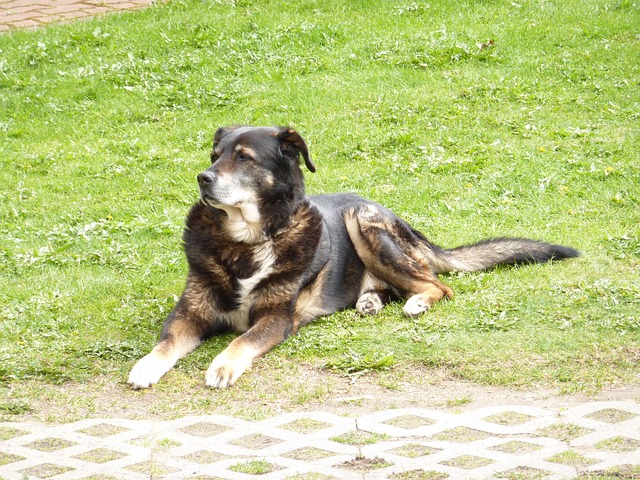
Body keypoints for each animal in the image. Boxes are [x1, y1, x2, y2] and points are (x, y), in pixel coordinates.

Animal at [126, 125, 580, 388]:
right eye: (214, 155)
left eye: (244, 157)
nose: (202, 178)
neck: (246, 241)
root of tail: (404, 223)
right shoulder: (190, 312)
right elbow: (167, 341)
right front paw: (147, 365)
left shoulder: (276, 318)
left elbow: (243, 339)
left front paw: (223, 365)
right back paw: (370, 301)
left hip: (363, 222)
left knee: (437, 284)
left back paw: (415, 302)